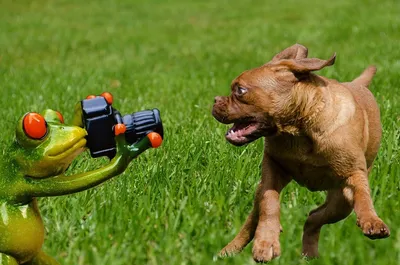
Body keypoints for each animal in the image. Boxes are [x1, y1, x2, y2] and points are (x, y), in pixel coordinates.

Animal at [212, 43, 390, 260]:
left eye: (240, 90)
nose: (215, 100)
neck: (299, 129)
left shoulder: (354, 174)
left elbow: (363, 197)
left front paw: (372, 220)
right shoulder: (272, 170)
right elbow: (269, 203)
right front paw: (266, 241)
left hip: (341, 202)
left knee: (314, 217)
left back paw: (309, 254)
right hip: (263, 192)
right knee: (253, 220)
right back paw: (229, 250)